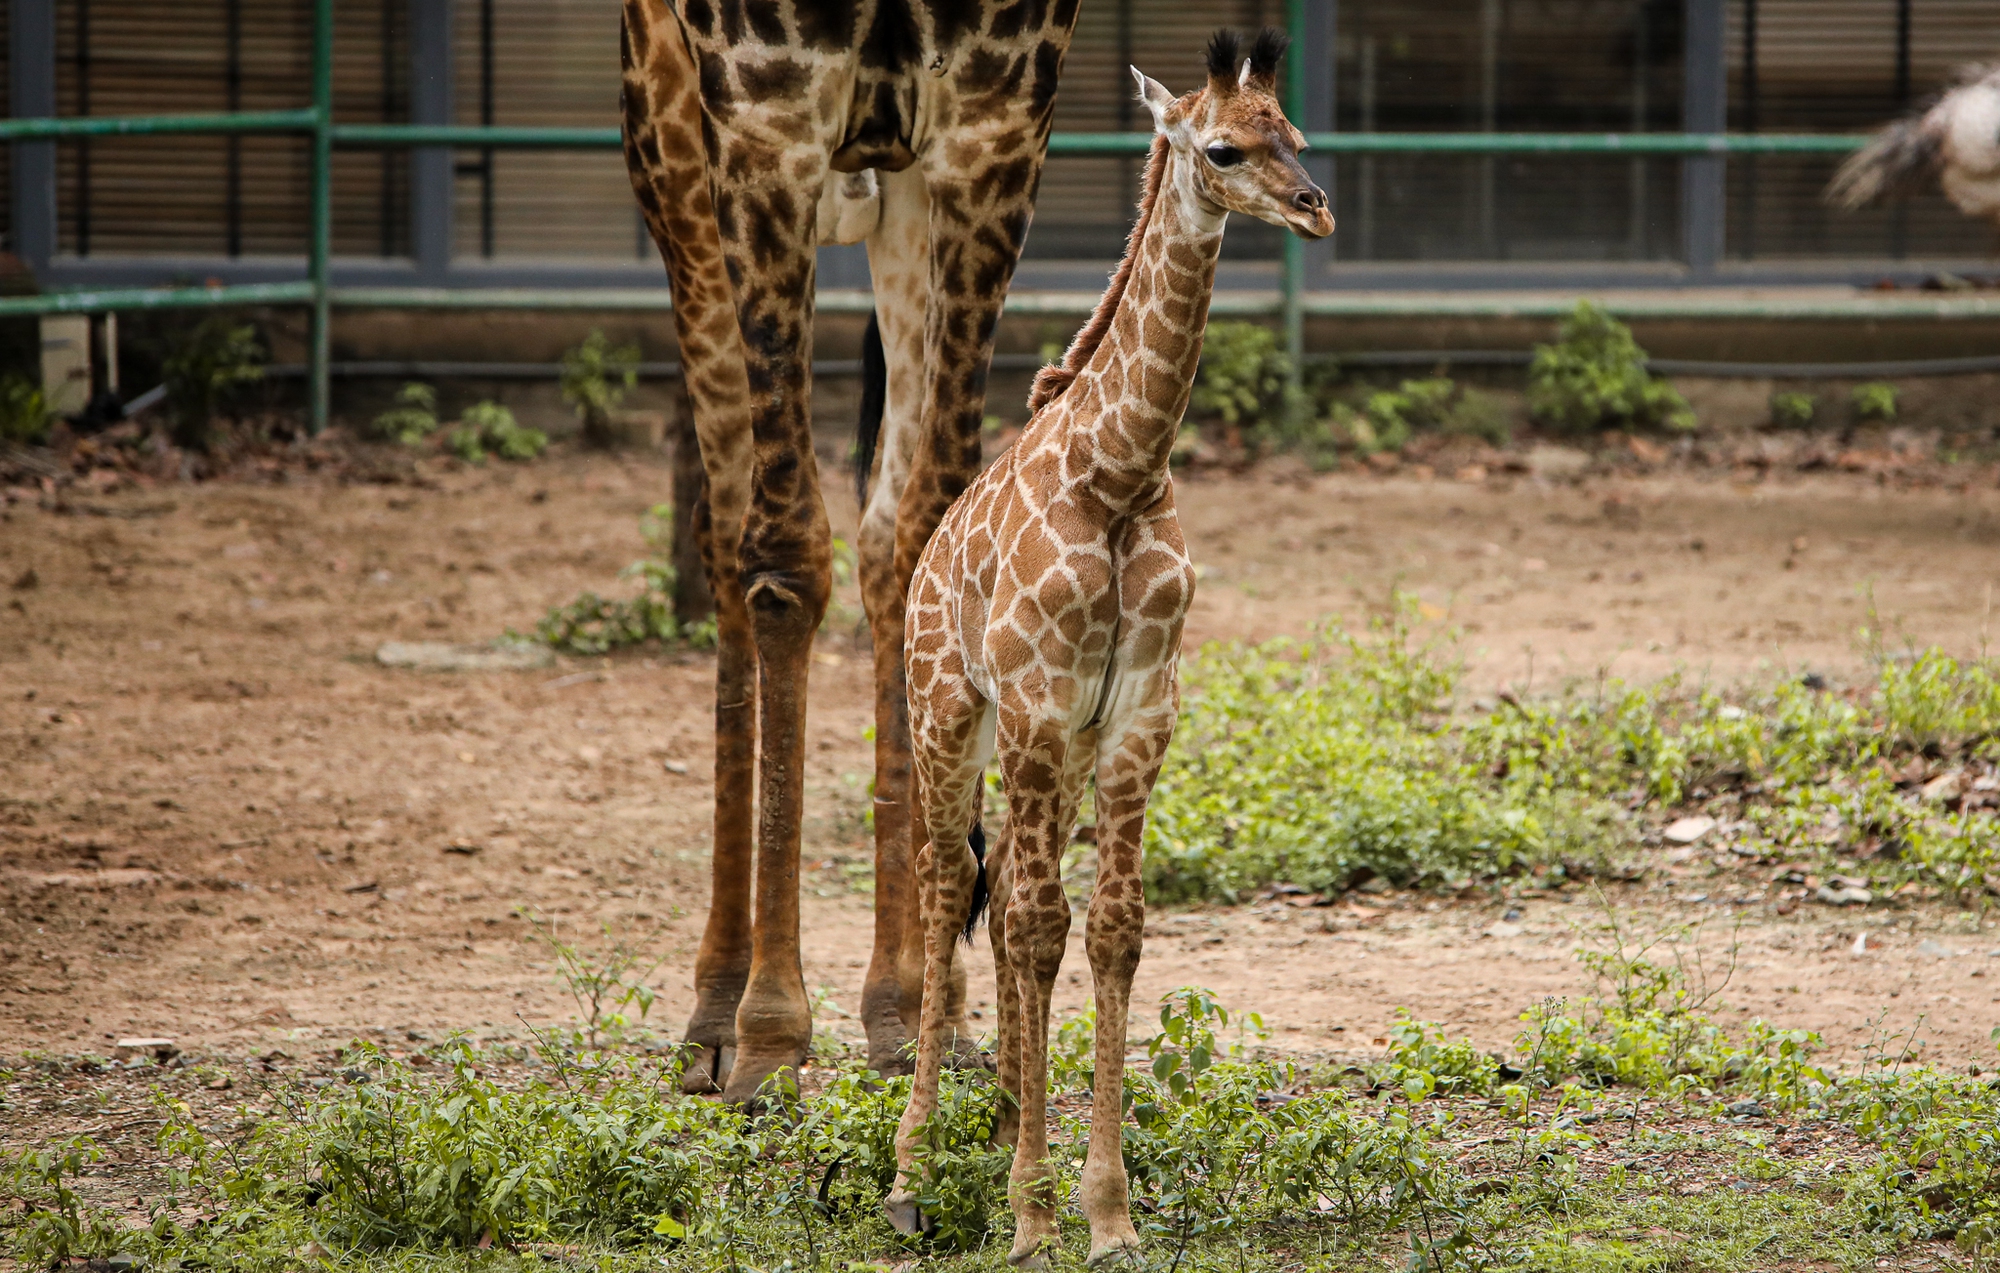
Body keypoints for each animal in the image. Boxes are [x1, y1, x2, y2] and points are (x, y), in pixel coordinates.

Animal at [620, 0, 1080, 1096]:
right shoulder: (763, 112)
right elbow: (783, 553)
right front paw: (772, 1035)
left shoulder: (995, 118)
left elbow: (924, 541)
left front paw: (924, 1015)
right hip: (669, 148)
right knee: (725, 528)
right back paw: (714, 1013)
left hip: (893, 195)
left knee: (878, 541)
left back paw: (908, 998)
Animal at [888, 24, 1328, 1264]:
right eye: (1222, 148)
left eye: (1294, 134)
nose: (1315, 208)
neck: (1119, 475)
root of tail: (923, 562)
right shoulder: (1038, 701)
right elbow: (1041, 924)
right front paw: (1035, 1214)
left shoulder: (1134, 712)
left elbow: (1114, 927)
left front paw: (1105, 1208)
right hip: (948, 709)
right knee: (949, 883)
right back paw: (914, 1163)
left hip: (1052, 745)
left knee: (999, 894)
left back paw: (996, 1123)